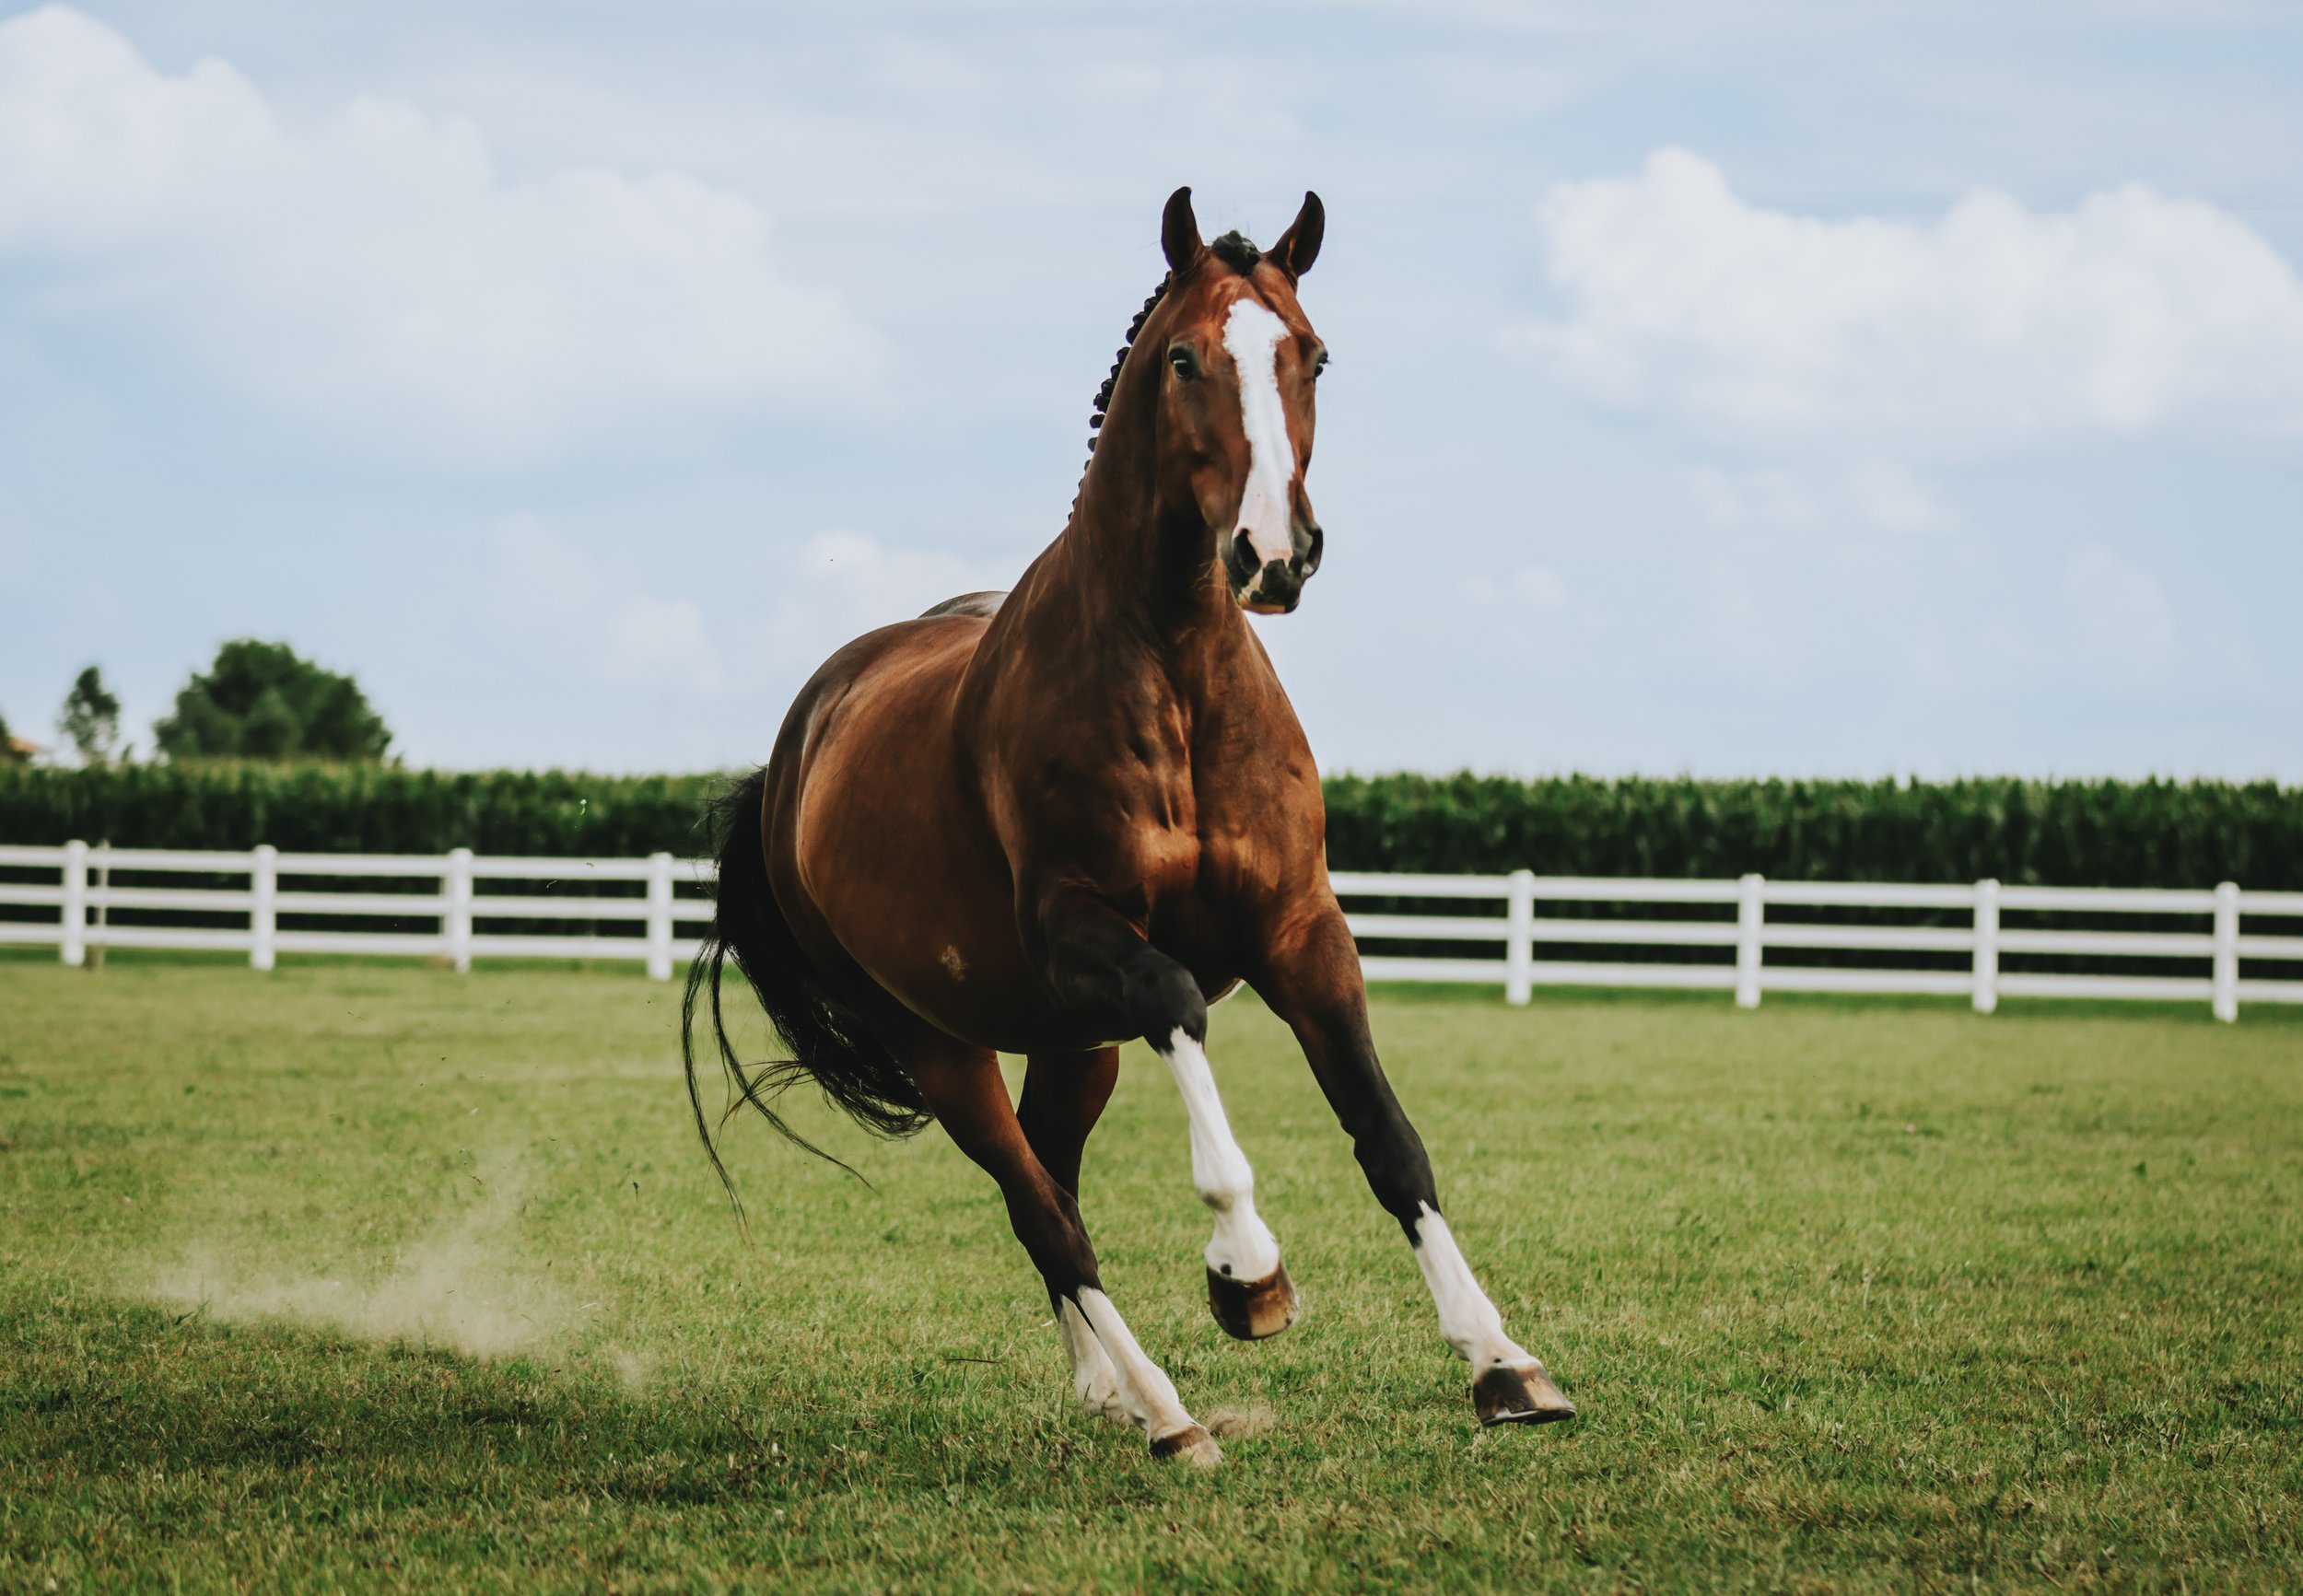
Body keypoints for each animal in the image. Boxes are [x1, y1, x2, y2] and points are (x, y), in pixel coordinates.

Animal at [685, 187, 1575, 1466]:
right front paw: (1247, 1275)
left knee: (1053, 1179)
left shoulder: (1302, 930)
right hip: (942, 1042)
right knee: (1040, 1209)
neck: (1175, 678)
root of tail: (796, 747)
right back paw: (1166, 1411)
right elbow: (1182, 1006)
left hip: (1072, 1043)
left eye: (1313, 354)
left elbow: (1388, 1136)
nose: (1274, 554)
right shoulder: (1090, 937)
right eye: (1185, 358)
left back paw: (1106, 1386)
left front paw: (1503, 1361)